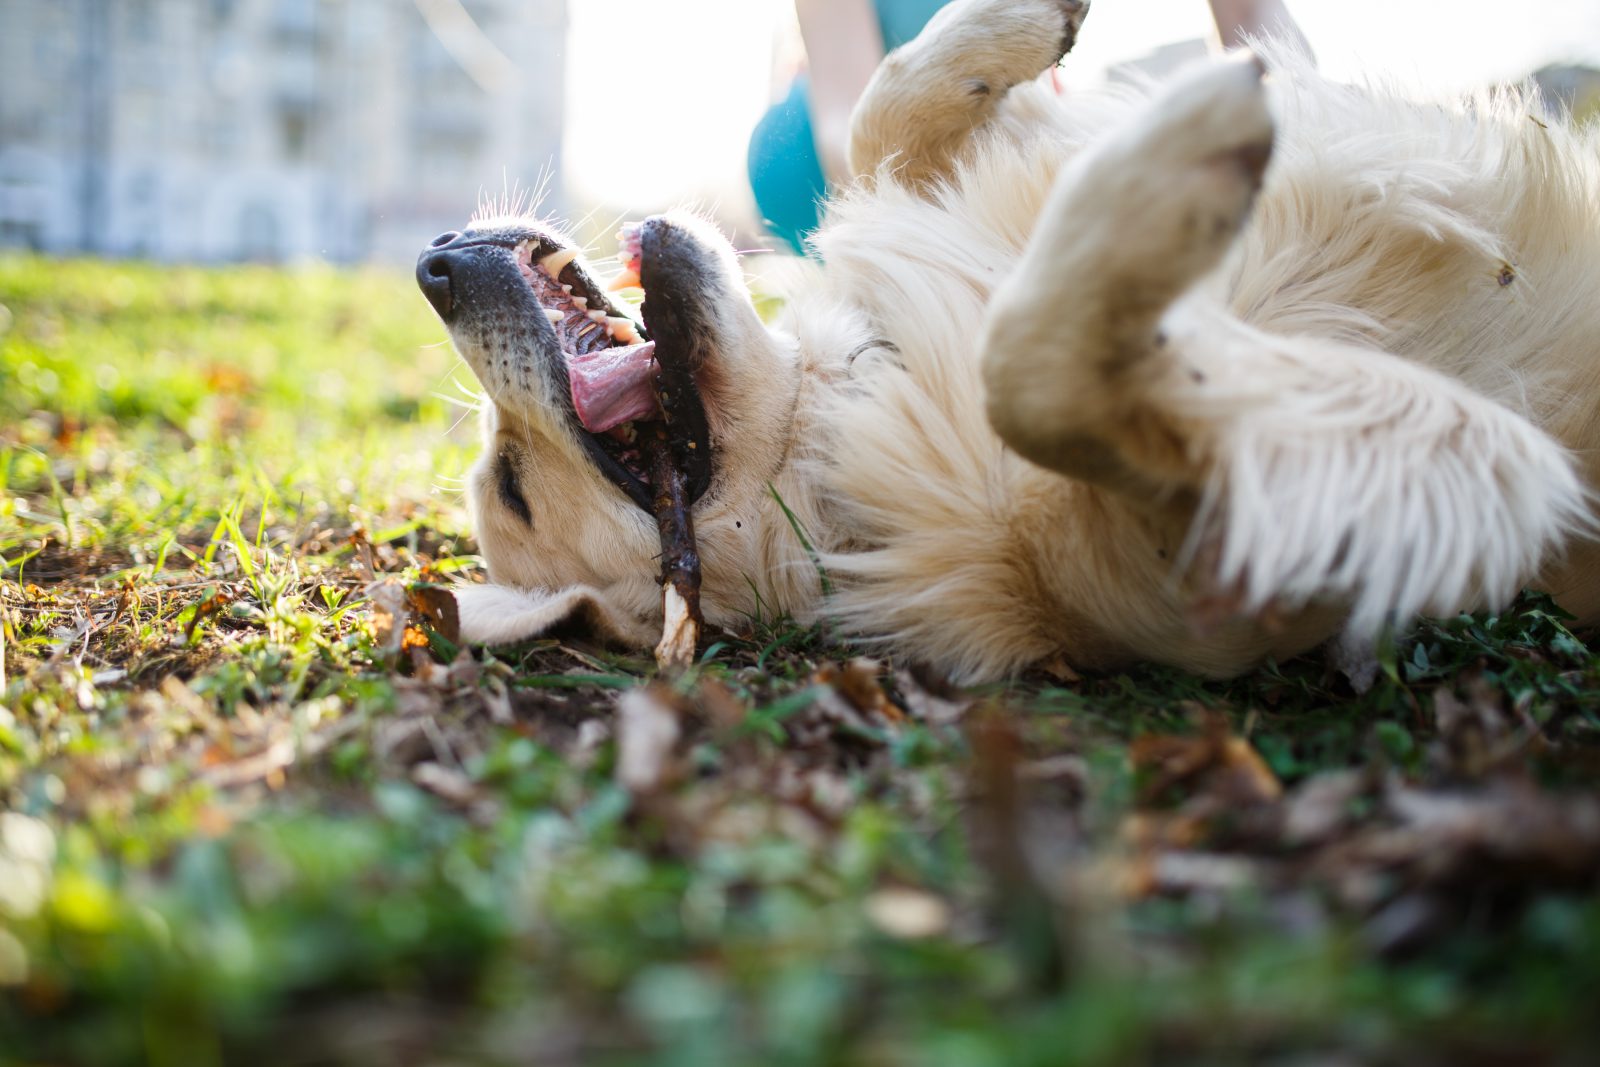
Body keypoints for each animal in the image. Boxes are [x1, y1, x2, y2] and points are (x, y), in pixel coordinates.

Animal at [416, 2, 1600, 684]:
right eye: (514, 485)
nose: (434, 262)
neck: (856, 394)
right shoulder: (1217, 594)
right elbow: (1030, 366)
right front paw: (1163, 178)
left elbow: (881, 116)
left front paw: (1012, 28)